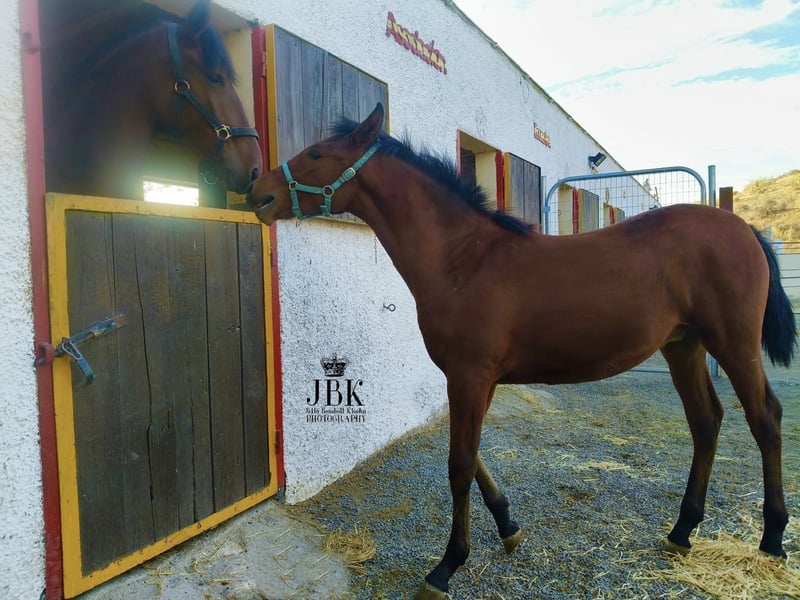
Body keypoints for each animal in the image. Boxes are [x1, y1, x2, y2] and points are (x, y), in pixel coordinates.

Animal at [246, 103, 795, 599]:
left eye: (317, 153)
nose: (257, 191)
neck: (464, 259)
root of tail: (744, 228)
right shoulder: (476, 379)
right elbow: (472, 457)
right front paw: (509, 527)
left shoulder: (469, 375)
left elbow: (459, 464)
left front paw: (446, 568)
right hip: (684, 346)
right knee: (706, 421)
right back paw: (682, 531)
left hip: (734, 345)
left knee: (765, 419)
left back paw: (771, 539)